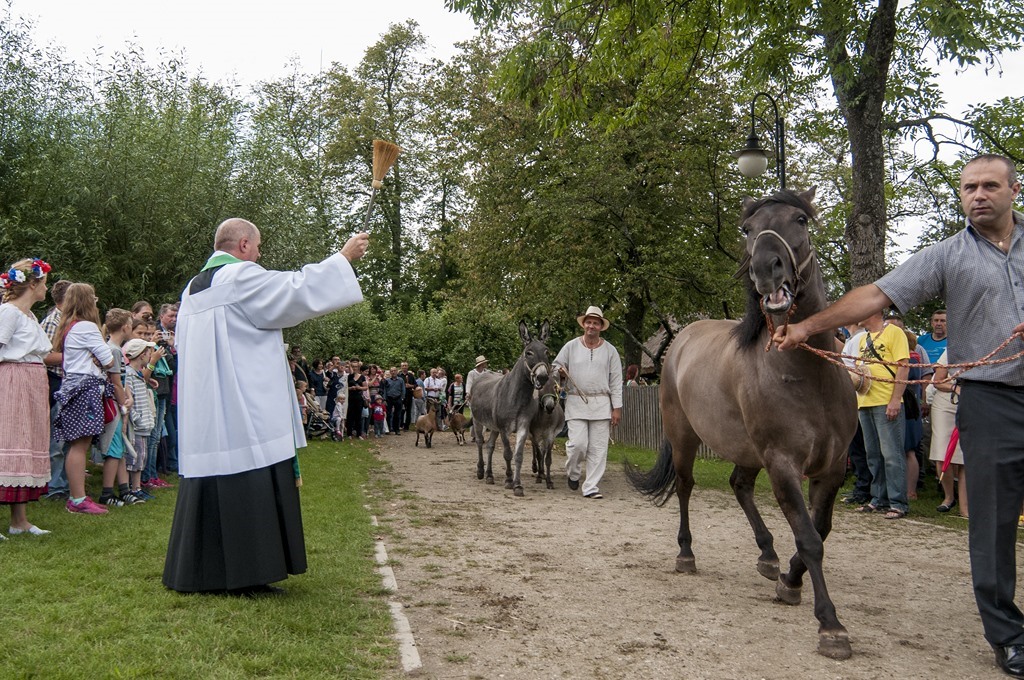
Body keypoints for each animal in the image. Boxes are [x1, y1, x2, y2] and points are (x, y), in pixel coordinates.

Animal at [472, 320, 551, 496]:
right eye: (529, 353)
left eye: (547, 352)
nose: (542, 377)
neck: (517, 397)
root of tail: (484, 374)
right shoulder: (504, 429)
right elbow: (507, 454)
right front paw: (509, 480)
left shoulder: (522, 427)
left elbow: (518, 455)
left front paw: (518, 485)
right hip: (478, 421)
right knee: (480, 442)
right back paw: (480, 471)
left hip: (493, 427)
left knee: (490, 446)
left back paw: (489, 475)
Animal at [626, 188, 858, 660]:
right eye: (748, 229)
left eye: (800, 220)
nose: (765, 270)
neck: (808, 375)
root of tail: (680, 340)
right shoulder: (783, 463)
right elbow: (809, 538)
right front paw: (830, 625)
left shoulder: (833, 468)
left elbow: (819, 530)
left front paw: (789, 579)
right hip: (686, 438)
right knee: (685, 487)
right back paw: (686, 554)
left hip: (747, 450)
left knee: (739, 485)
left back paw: (768, 555)